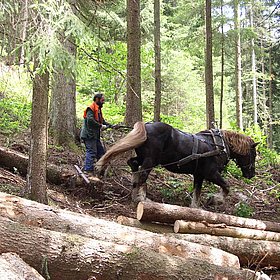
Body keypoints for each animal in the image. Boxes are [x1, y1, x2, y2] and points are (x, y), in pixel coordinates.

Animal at [96, 121, 258, 207]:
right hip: (151, 160)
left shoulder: (199, 175)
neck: (218, 145)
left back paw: (135, 191)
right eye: (254, 155)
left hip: (144, 157)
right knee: (142, 174)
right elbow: (226, 186)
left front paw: (195, 208)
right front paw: (215, 199)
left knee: (133, 164)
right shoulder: (210, 173)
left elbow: (197, 192)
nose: (251, 174)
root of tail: (146, 126)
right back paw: (141, 198)